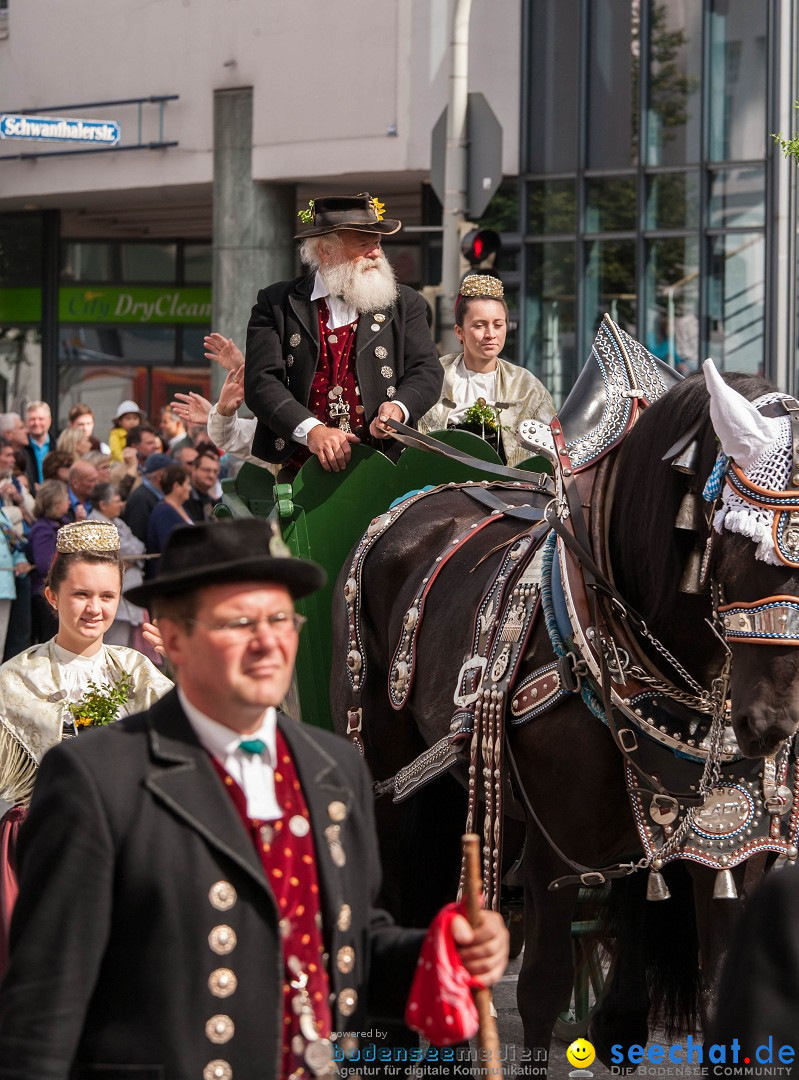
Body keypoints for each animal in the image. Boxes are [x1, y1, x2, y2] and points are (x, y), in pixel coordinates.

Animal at [330, 367, 799, 1058]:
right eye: (738, 539)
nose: (771, 724)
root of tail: (417, 500)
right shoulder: (556, 850)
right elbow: (542, 988)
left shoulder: (733, 851)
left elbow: (720, 994)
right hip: (380, 764)